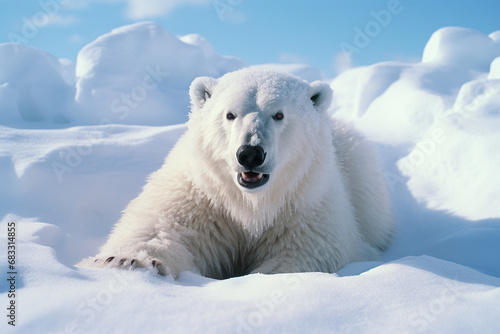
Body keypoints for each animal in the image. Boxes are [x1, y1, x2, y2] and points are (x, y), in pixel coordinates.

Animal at [78, 68, 392, 280]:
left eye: (279, 115)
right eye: (230, 115)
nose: (250, 153)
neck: (248, 203)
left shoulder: (303, 205)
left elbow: (305, 251)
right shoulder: (200, 197)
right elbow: (160, 226)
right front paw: (125, 261)